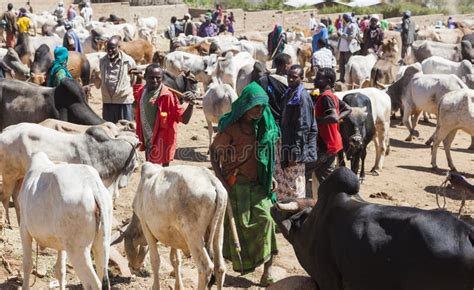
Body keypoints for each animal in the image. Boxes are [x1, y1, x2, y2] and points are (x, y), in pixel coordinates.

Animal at [20, 153, 112, 288]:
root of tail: (92, 184)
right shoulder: (61, 243)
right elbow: (60, 270)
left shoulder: (24, 229)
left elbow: (27, 264)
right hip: (102, 243)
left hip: (78, 250)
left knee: (93, 284)